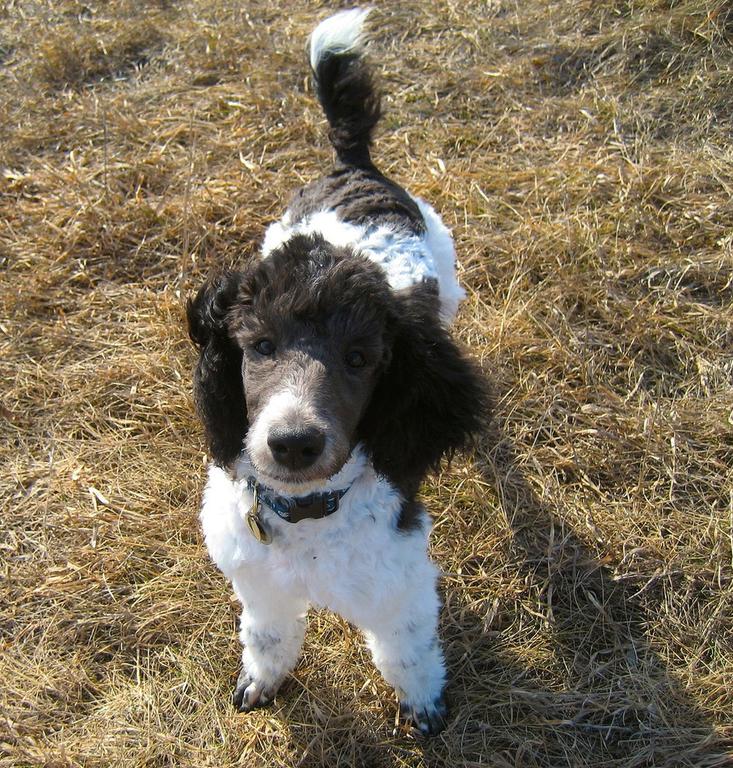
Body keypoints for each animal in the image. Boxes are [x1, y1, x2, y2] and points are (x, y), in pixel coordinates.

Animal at [187, 7, 486, 736]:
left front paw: (424, 709)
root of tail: (354, 166)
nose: (293, 443)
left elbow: (408, 653)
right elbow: (268, 637)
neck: (305, 520)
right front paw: (262, 683)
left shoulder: (402, 589)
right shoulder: (259, 587)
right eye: (259, 346)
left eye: (360, 359)